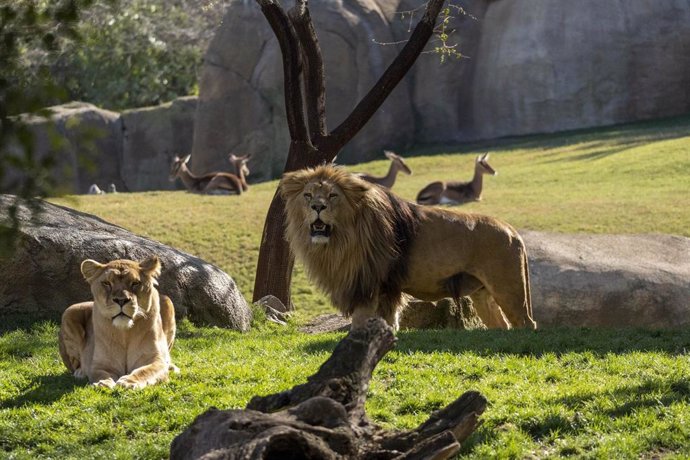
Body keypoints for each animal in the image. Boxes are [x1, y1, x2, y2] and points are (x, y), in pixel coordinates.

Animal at [58, 255, 177, 388]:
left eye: (135, 283)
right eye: (106, 283)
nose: (121, 300)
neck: (124, 333)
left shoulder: (155, 360)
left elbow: (145, 371)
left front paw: (129, 382)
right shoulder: (101, 364)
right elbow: (101, 374)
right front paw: (103, 383)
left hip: (167, 301)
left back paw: (172, 366)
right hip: (70, 311)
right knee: (74, 366)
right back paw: (80, 372)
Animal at [280, 165, 536, 330]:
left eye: (333, 195)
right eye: (307, 195)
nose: (317, 206)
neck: (341, 239)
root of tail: (512, 230)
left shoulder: (368, 285)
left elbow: (361, 324)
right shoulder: (384, 289)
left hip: (508, 288)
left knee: (526, 323)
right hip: (483, 294)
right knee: (502, 325)